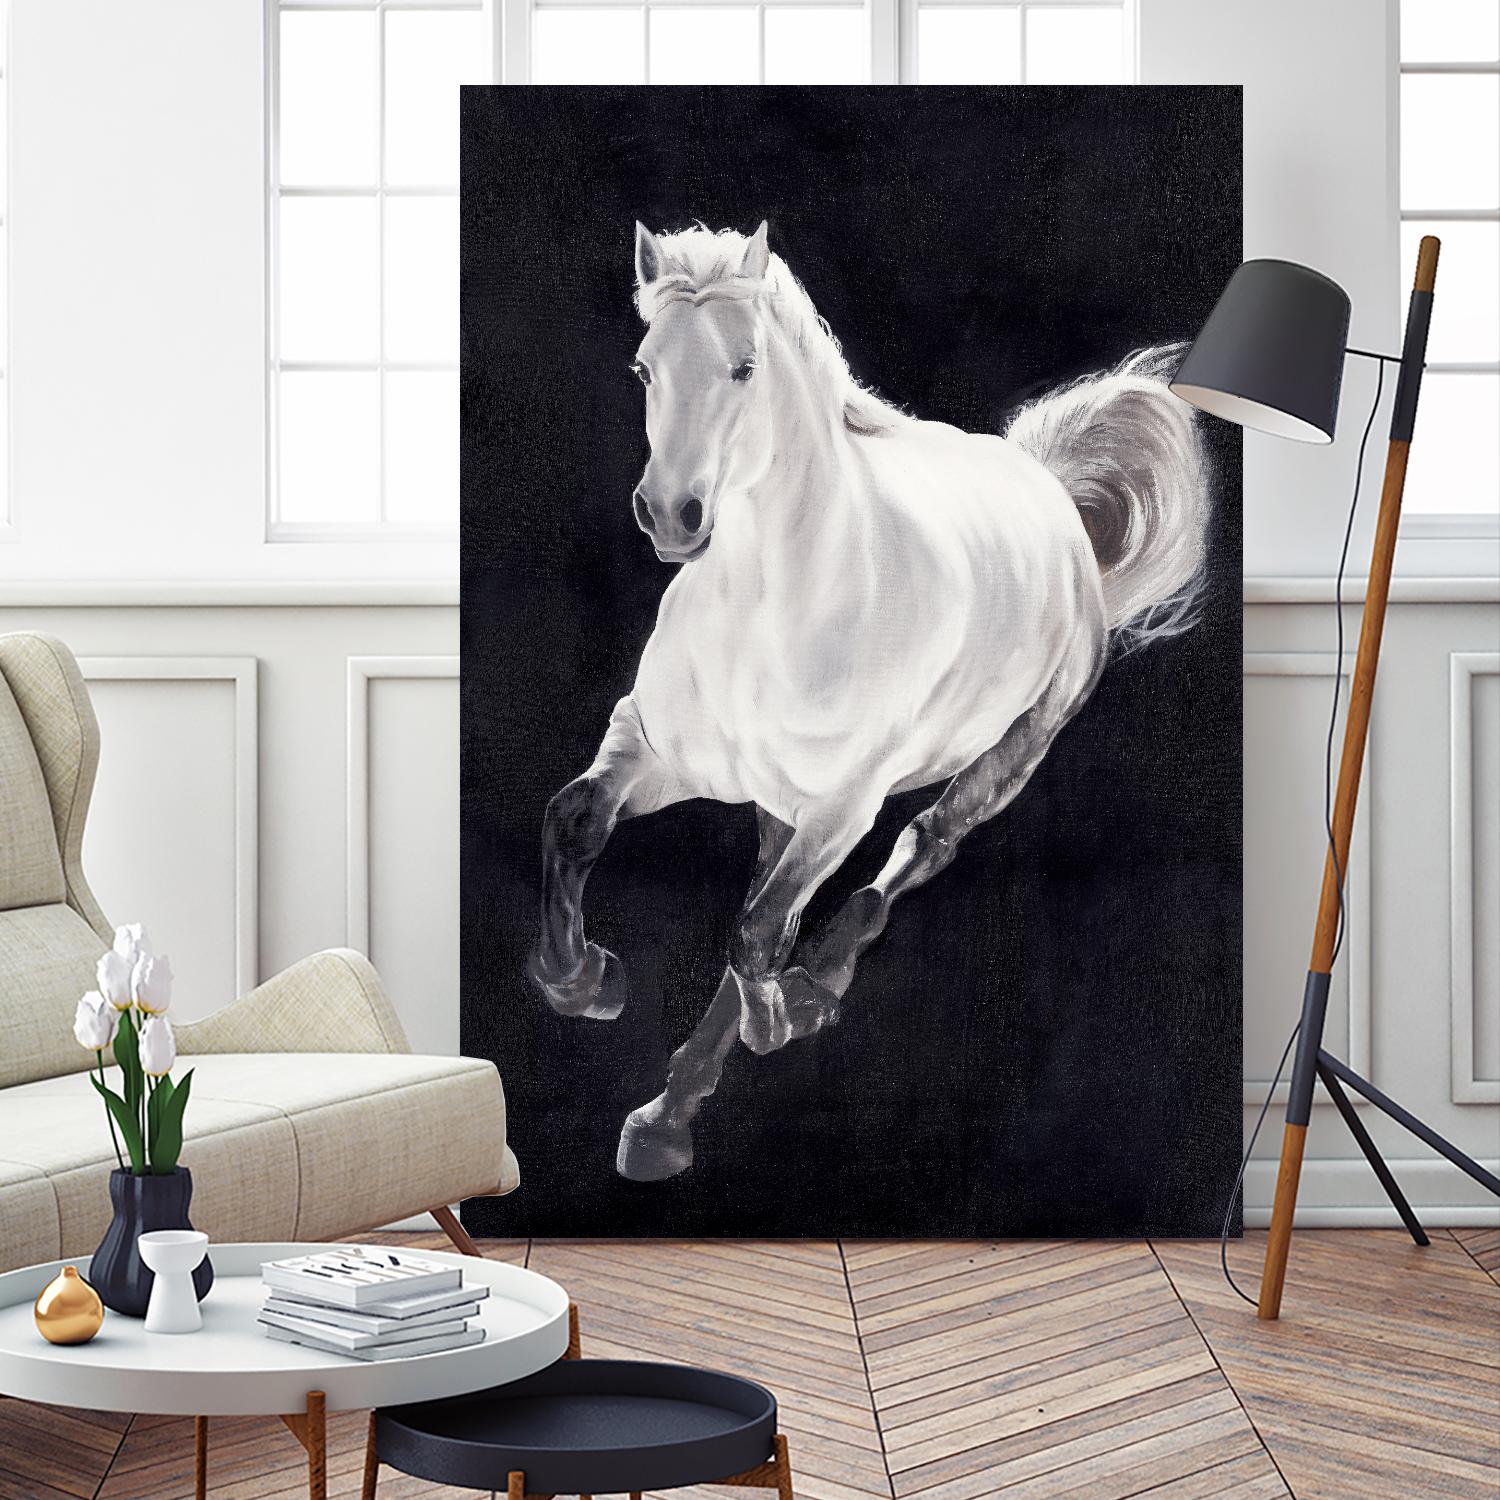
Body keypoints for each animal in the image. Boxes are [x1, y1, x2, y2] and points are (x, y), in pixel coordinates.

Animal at [529, 220, 1210, 1182]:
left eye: (744, 366)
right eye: (643, 366)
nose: (671, 515)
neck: (769, 613)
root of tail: (1047, 490)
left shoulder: (845, 807)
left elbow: (756, 934)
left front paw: (784, 1018)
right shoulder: (654, 749)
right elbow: (579, 822)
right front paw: (587, 982)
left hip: (1012, 751)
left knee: (919, 847)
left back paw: (812, 987)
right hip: (782, 795)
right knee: (768, 889)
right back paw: (675, 1104)